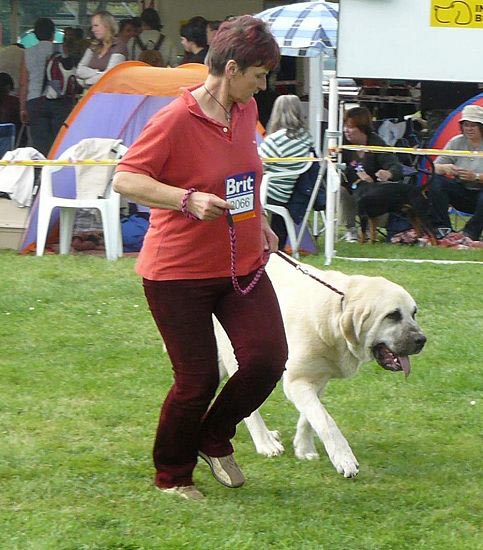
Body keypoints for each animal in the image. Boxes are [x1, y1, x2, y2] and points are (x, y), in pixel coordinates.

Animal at [216, 254, 428, 478]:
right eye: (393, 315)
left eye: (413, 313)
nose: (422, 340)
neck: (337, 313)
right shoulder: (297, 381)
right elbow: (325, 420)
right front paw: (344, 458)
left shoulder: (317, 378)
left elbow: (310, 417)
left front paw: (304, 448)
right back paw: (265, 442)